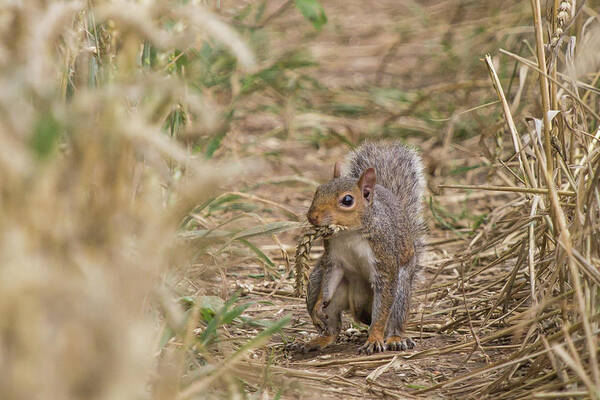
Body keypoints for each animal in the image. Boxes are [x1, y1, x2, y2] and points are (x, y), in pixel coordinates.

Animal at [298, 142, 422, 354]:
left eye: (347, 200)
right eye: (318, 191)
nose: (312, 217)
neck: (349, 233)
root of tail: (357, 305)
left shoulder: (384, 259)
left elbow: (381, 312)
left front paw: (374, 339)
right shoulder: (333, 260)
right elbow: (328, 282)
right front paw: (317, 307)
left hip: (401, 288)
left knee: (393, 317)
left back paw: (396, 339)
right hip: (316, 283)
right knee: (333, 328)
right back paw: (317, 340)